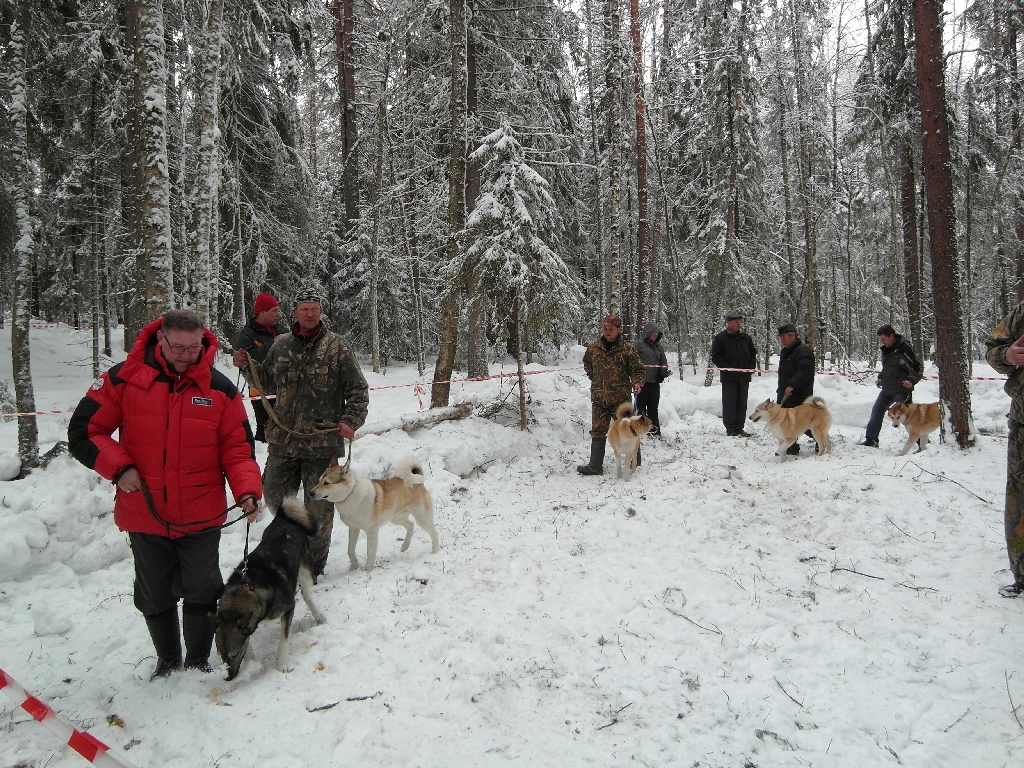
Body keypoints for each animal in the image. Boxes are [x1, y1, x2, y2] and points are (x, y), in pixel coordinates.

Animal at [214, 497, 326, 681]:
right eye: (221, 657)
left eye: (234, 655)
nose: (228, 678)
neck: (249, 587)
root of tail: (283, 517)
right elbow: (248, 641)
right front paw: (252, 661)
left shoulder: (288, 608)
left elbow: (283, 640)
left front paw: (282, 664)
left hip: (306, 572)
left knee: (305, 592)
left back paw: (318, 614)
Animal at [310, 455, 440, 571]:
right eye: (319, 481)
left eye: (326, 483)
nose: (310, 493)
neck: (350, 494)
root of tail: (417, 482)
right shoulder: (354, 528)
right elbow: (350, 549)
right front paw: (354, 566)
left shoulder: (371, 530)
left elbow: (370, 551)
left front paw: (367, 568)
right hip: (395, 518)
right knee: (411, 526)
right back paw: (405, 546)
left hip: (422, 518)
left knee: (434, 533)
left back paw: (435, 552)